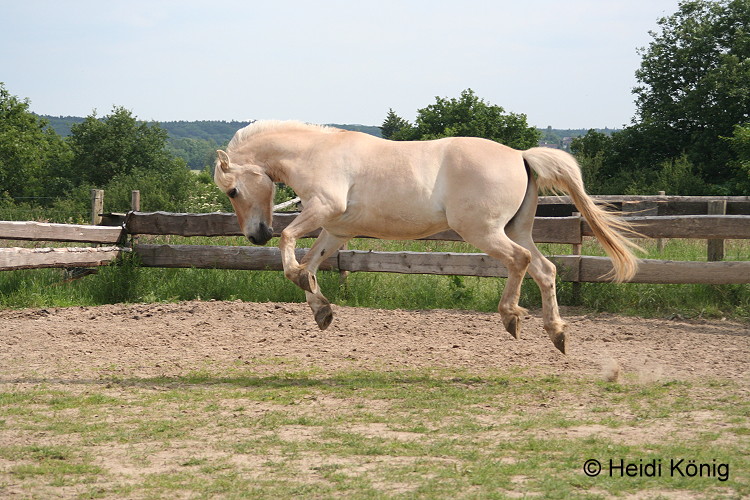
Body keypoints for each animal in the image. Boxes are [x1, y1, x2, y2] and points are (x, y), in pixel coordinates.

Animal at [213, 120, 640, 354]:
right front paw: (322, 311)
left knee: (519, 261)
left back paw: (511, 317)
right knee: (546, 269)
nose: (256, 236)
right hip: (515, 229)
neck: (314, 154)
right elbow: (311, 264)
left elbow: (290, 247)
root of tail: (521, 155)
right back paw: (557, 334)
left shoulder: (323, 210)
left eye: (232, 190)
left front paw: (312, 295)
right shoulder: (337, 228)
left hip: (483, 231)